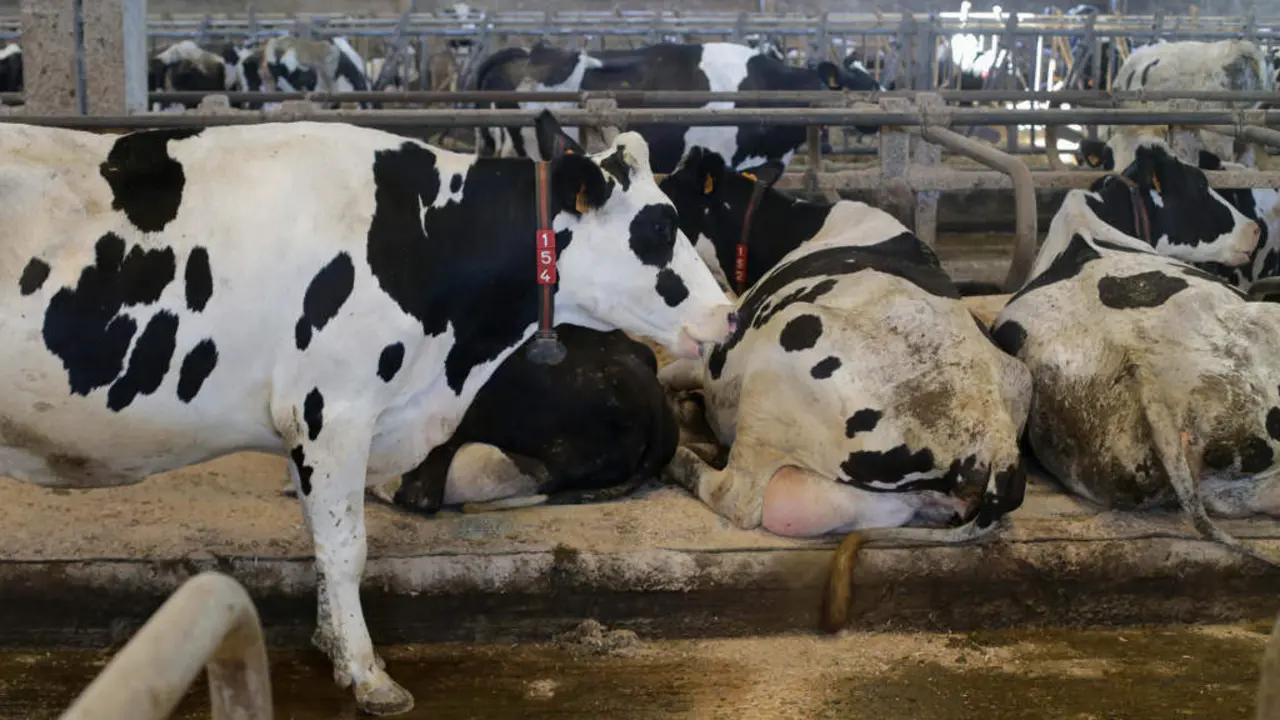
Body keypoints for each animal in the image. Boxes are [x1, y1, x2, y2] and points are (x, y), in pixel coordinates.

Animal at [657, 151, 1031, 632]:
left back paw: (679, 458)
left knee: (734, 497)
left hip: (783, 350)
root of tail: (995, 445)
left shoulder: (715, 355)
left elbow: (671, 371)